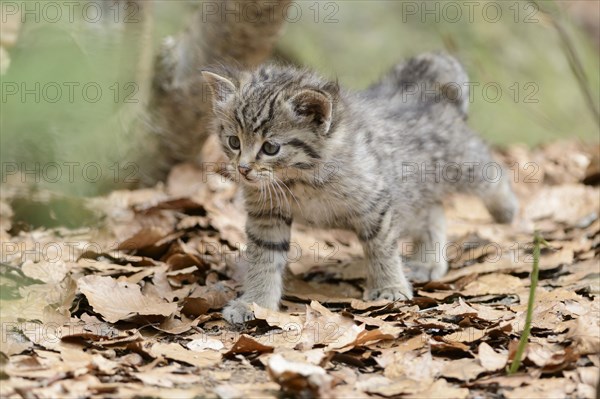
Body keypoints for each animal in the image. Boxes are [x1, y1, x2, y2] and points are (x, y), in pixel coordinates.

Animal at [200, 51, 516, 324]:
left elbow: (381, 247)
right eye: (233, 142)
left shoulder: (376, 202)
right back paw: (427, 261)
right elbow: (264, 258)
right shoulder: (266, 214)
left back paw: (507, 211)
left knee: (490, 172)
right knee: (433, 212)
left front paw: (389, 286)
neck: (301, 179)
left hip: (461, 164)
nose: (243, 169)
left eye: (270, 148)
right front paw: (254, 302)